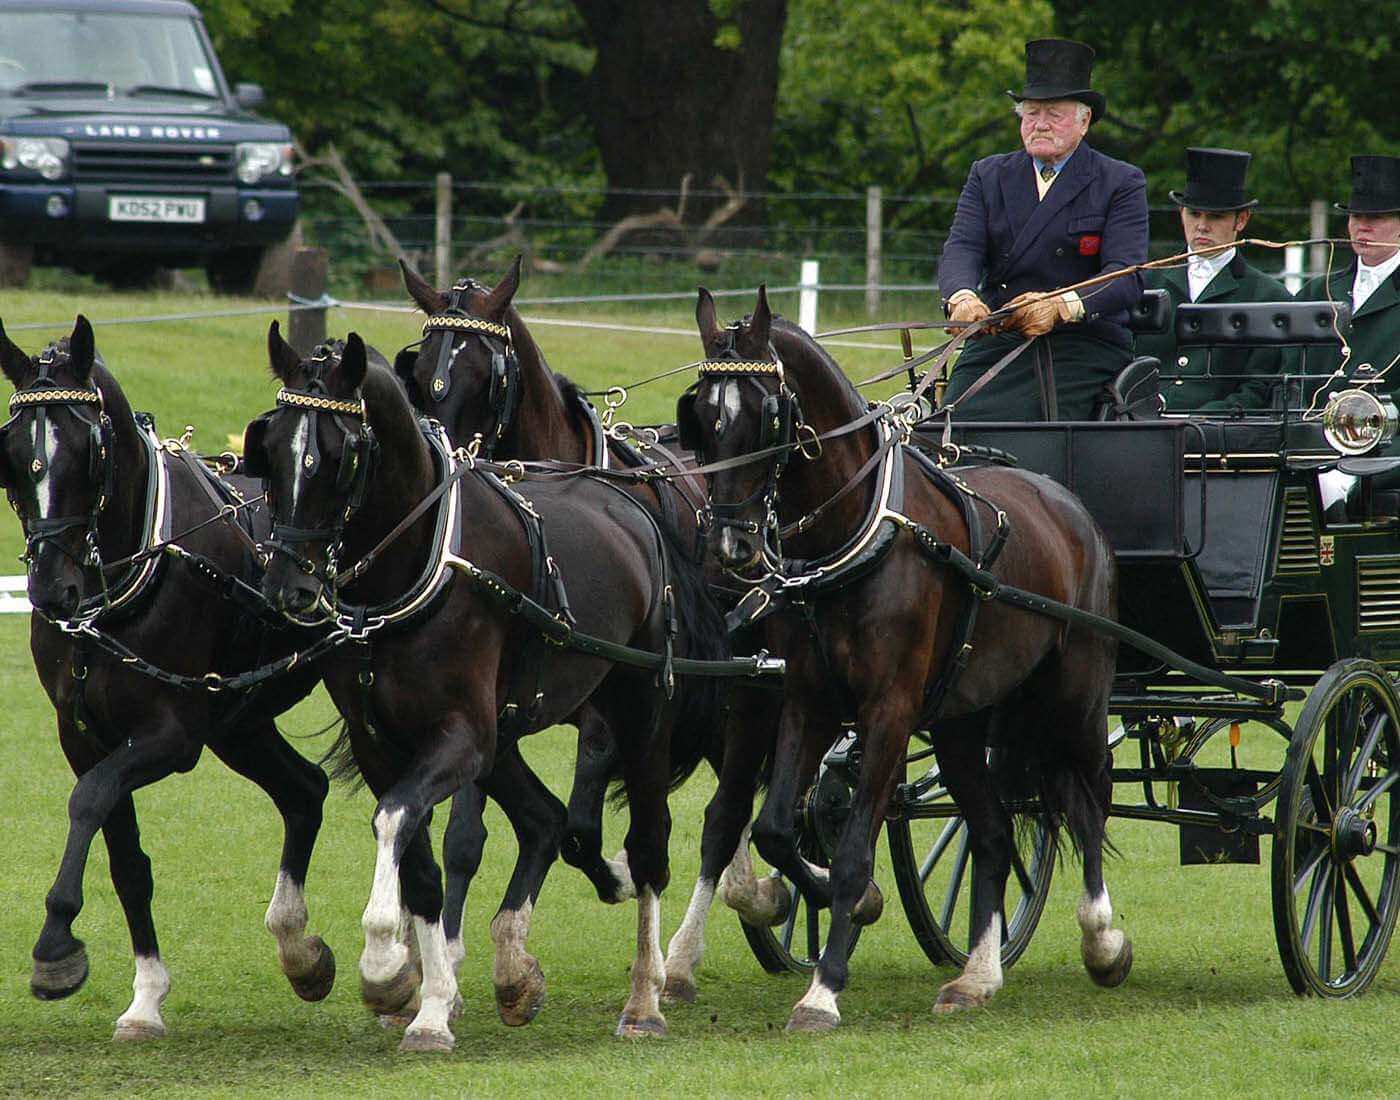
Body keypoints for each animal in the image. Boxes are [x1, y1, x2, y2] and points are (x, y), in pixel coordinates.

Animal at [0, 314, 333, 1035]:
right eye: (10, 451)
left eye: (88, 451)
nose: (52, 590)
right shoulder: (83, 734)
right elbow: (125, 856)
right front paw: (146, 995)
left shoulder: (170, 738)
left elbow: (90, 798)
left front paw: (55, 945)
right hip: (239, 721)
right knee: (305, 790)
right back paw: (302, 952)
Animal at [242, 323, 728, 1046]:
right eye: (269, 449)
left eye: (339, 456)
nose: (286, 588)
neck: (420, 563)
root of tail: (632, 504)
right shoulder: (382, 743)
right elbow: (418, 861)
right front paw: (429, 999)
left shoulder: (463, 737)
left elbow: (394, 822)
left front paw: (385, 964)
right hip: (506, 737)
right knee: (543, 818)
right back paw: (514, 971)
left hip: (639, 716)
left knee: (649, 848)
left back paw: (646, 996)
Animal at [397, 258, 789, 1002]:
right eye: (420, 365)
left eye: (489, 375)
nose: (445, 471)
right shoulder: (486, 695)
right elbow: (467, 835)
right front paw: (448, 957)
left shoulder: (612, 714)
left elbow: (581, 827)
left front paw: (623, 879)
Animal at [674, 289, 1125, 1030]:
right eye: (702, 419)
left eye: (768, 416)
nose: (731, 545)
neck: (857, 534)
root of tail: (1071, 507)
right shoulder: (808, 699)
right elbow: (773, 828)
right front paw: (836, 902)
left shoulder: (889, 710)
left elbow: (856, 847)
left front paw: (824, 987)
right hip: (963, 721)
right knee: (993, 830)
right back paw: (978, 976)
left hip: (1073, 699)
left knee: (1088, 799)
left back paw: (1103, 938)